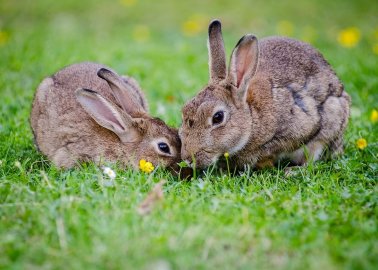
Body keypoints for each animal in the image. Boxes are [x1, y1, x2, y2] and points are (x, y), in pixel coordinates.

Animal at [179, 20, 352, 169]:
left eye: (218, 117)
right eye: (184, 110)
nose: (188, 159)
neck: (251, 118)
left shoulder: (302, 126)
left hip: (332, 117)